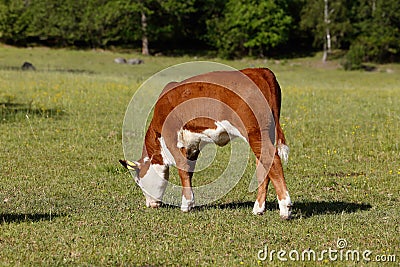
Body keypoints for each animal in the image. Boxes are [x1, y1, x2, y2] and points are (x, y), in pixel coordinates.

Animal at [120, 67, 292, 220]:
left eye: (138, 182)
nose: (150, 204)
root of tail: (260, 71)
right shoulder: (192, 145)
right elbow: (188, 171)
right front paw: (190, 203)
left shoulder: (171, 137)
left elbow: (182, 168)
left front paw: (186, 205)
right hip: (265, 133)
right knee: (264, 166)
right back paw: (258, 208)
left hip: (255, 132)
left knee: (272, 160)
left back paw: (285, 209)